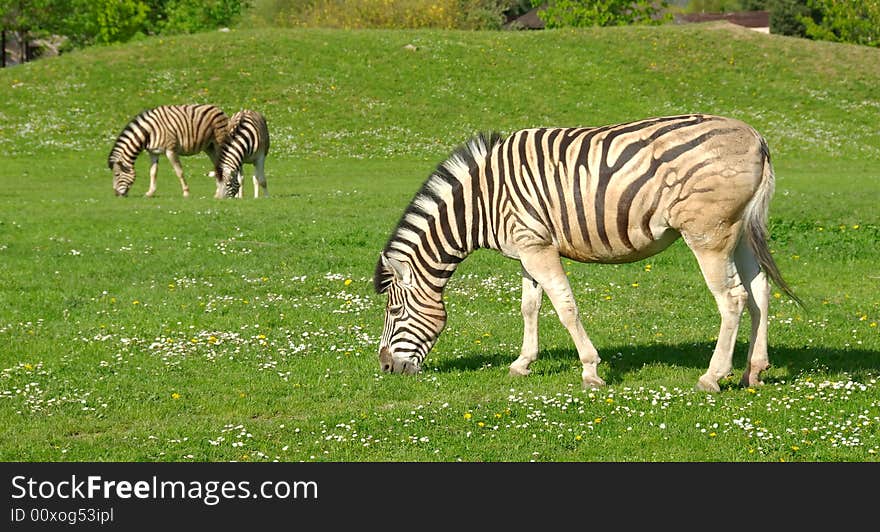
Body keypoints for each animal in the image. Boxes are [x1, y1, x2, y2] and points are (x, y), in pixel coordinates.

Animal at [374, 114, 800, 392]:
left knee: (733, 298)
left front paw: (591, 371)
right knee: (759, 292)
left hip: (708, 233)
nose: (385, 367)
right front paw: (522, 364)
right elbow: (530, 307)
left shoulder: (537, 247)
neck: (482, 202)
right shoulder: (529, 248)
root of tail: (756, 137)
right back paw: (753, 372)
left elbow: (565, 307)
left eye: (394, 310)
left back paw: (713, 377)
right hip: (738, 231)